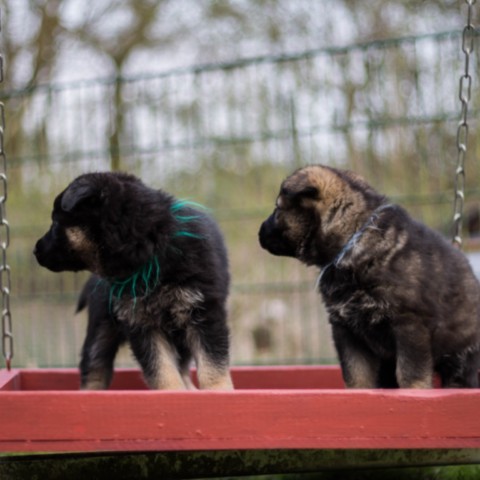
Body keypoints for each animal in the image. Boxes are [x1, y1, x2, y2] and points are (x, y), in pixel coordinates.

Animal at [34, 171, 233, 391]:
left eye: (55, 223)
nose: (35, 250)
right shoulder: (140, 322)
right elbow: (161, 368)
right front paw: (172, 392)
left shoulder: (203, 312)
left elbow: (212, 365)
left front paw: (218, 392)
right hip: (102, 327)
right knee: (94, 366)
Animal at [259, 164, 480, 388]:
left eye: (277, 209)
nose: (259, 232)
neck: (353, 239)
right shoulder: (346, 329)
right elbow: (356, 375)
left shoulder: (410, 323)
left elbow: (410, 373)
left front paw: (414, 392)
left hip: (463, 357)